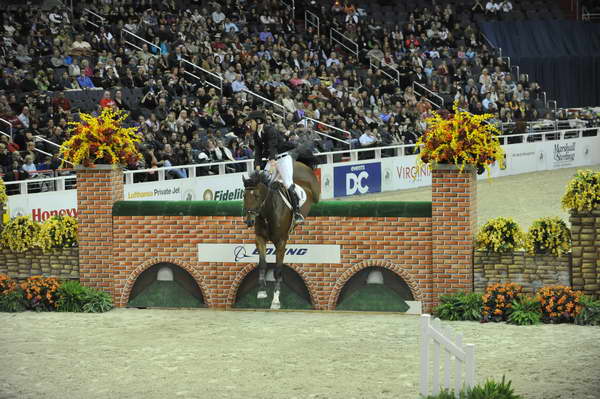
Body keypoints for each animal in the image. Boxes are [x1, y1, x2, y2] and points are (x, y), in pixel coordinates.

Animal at [241, 161, 322, 310]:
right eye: (244, 196)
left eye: (256, 196)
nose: (249, 221)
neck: (268, 213)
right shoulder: (260, 239)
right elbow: (262, 264)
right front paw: (261, 291)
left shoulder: (281, 242)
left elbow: (278, 271)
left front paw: (275, 300)